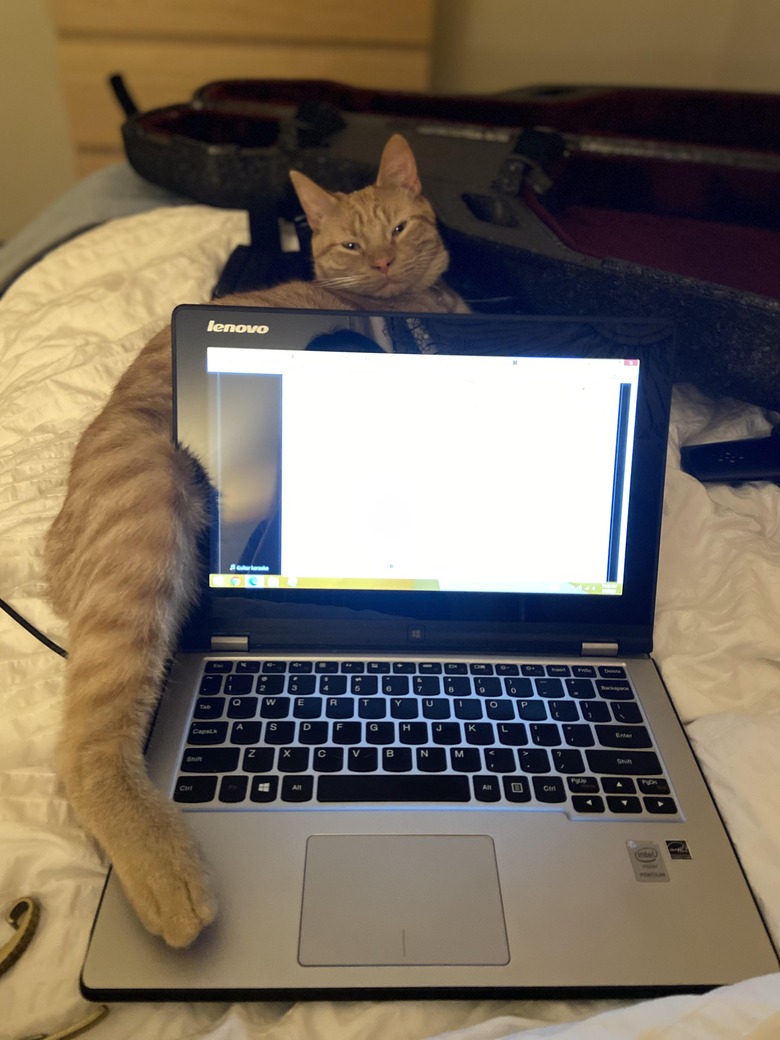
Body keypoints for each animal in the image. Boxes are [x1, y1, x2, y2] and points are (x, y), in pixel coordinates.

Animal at [45, 134, 470, 948]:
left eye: (397, 229)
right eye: (351, 243)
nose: (380, 263)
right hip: (148, 528)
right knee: (85, 747)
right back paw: (172, 880)